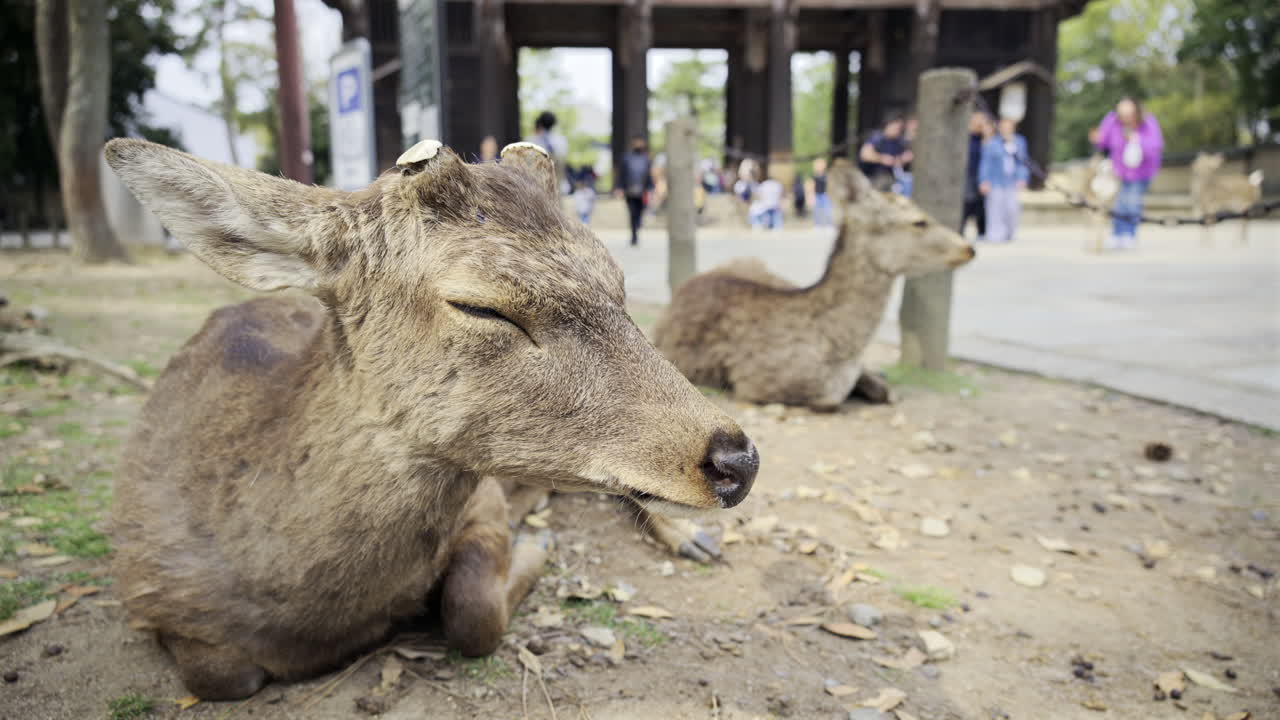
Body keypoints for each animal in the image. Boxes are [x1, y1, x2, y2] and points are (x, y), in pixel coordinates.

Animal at [103, 137, 758, 701]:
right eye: (481, 306)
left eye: (619, 286)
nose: (738, 460)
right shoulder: (150, 598)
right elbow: (220, 675)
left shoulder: (482, 498)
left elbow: (473, 614)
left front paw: (535, 548)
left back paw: (693, 539)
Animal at [652, 160, 974, 413]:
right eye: (919, 222)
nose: (968, 249)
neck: (840, 349)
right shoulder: (752, 381)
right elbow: (830, 401)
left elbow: (886, 391)